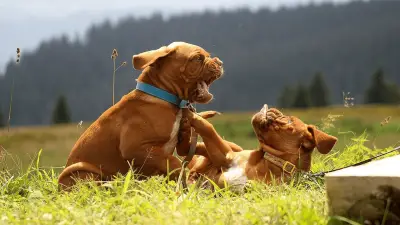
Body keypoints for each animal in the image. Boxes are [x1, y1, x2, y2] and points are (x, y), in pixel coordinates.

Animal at [57, 42, 223, 190]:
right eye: (198, 58)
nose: (220, 63)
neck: (164, 98)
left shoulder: (182, 146)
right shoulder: (135, 148)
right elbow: (174, 163)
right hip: (82, 171)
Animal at [186, 104, 336, 192]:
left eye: (288, 121)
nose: (273, 109)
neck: (272, 164)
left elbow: (208, 128)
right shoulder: (227, 156)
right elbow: (208, 128)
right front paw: (189, 113)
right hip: (233, 146)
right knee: (199, 146)